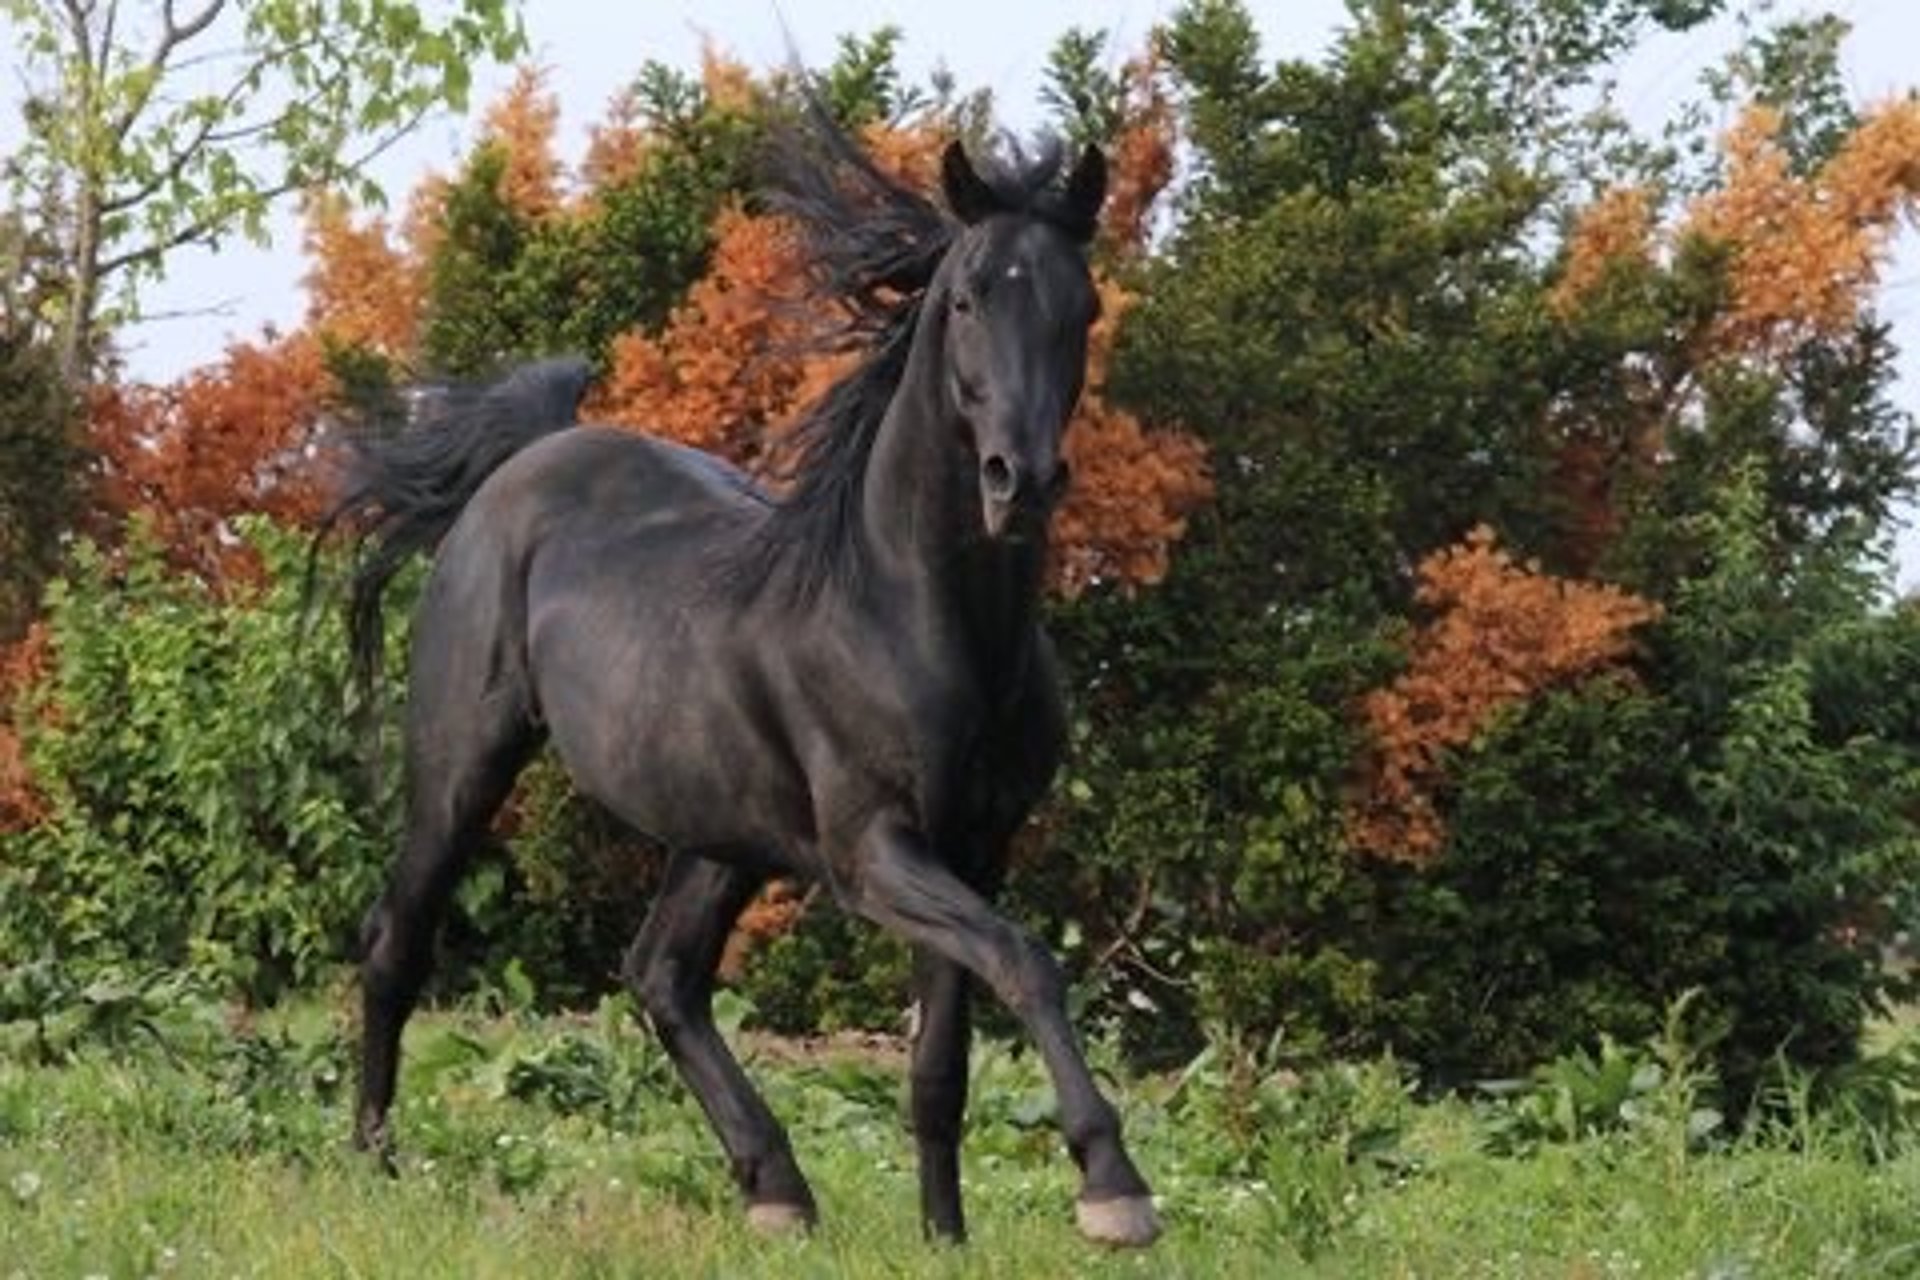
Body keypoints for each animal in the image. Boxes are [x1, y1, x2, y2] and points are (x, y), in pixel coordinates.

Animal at [318, 109, 1158, 1248]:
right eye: (969, 296)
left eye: (1084, 303)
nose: (1018, 481)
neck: (911, 613)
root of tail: (524, 465)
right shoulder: (872, 852)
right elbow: (1027, 961)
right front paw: (1114, 1186)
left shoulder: (974, 847)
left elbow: (941, 1063)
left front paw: (945, 1238)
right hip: (462, 768)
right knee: (397, 941)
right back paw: (377, 1161)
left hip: (719, 828)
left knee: (661, 974)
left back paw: (776, 1188)